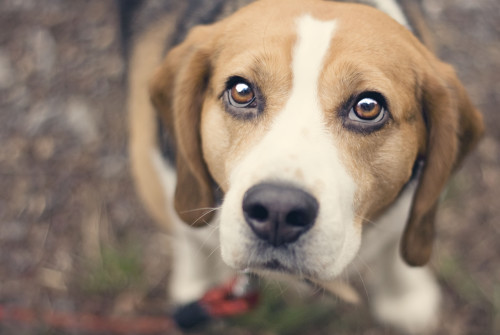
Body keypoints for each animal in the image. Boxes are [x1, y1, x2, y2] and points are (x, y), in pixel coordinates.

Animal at [126, 0, 484, 334]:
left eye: (368, 107)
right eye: (241, 91)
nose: (278, 211)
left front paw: (405, 298)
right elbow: (191, 240)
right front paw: (195, 287)